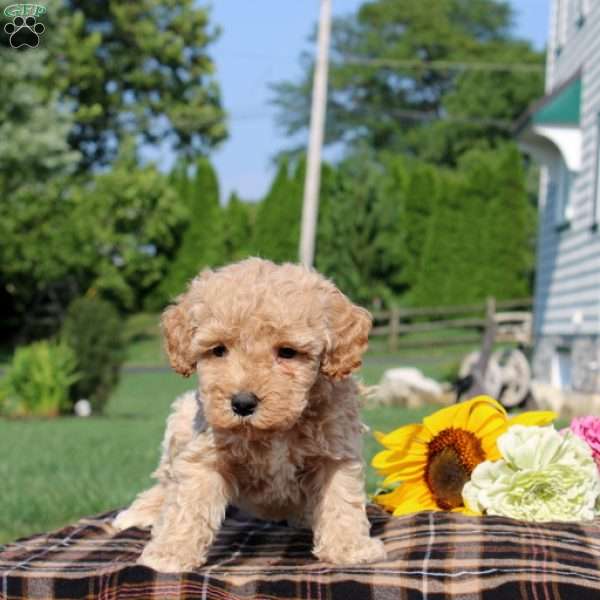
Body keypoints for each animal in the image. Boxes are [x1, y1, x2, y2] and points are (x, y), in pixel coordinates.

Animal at [114, 256, 386, 572]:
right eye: (218, 350)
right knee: (165, 481)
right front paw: (170, 553)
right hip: (180, 421)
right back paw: (142, 513)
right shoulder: (205, 452)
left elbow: (341, 500)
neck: (275, 429)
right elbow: (188, 502)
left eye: (287, 352)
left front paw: (351, 548)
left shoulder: (335, 451)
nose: (242, 403)